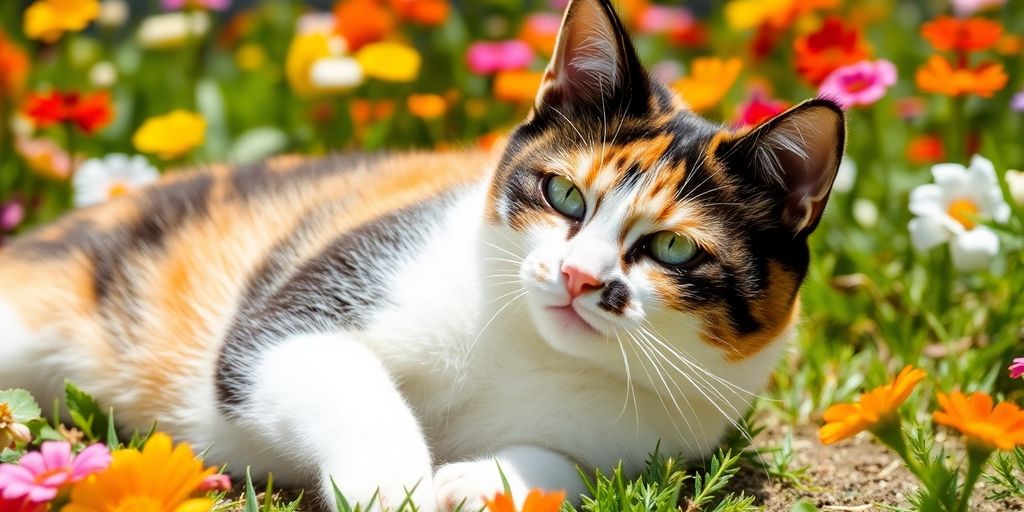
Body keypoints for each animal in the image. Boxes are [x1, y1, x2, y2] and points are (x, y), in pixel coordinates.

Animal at [0, 0, 843, 507]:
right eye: (565, 195)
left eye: (671, 247)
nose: (578, 277)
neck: (531, 352)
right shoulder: (295, 314)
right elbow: (339, 378)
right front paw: (393, 486)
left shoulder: (648, 441)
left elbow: (565, 468)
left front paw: (474, 483)